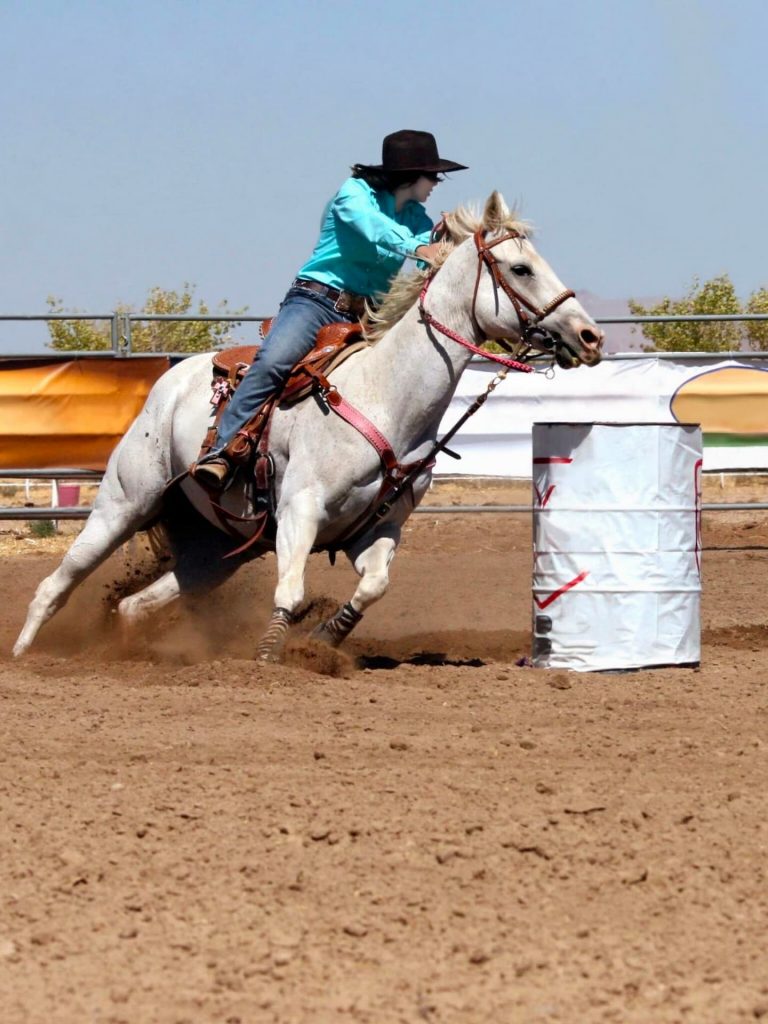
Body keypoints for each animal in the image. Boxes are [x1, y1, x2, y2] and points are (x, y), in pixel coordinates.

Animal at [9, 192, 606, 659]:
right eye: (521, 268)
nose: (590, 336)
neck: (385, 395)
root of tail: (169, 381)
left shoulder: (380, 527)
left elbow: (374, 586)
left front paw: (326, 637)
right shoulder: (300, 510)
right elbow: (291, 592)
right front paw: (272, 654)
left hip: (214, 548)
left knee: (136, 604)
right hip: (123, 503)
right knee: (55, 584)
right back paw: (24, 655)